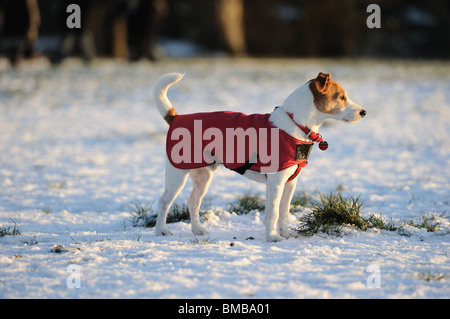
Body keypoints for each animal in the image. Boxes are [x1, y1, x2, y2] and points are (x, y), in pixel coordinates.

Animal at [153, 72, 364, 242]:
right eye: (341, 97)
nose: (364, 112)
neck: (295, 124)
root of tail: (176, 118)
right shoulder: (276, 181)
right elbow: (273, 213)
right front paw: (272, 237)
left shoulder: (290, 182)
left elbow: (284, 212)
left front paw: (285, 234)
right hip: (177, 174)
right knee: (163, 202)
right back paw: (161, 231)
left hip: (203, 175)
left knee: (193, 202)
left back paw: (197, 230)